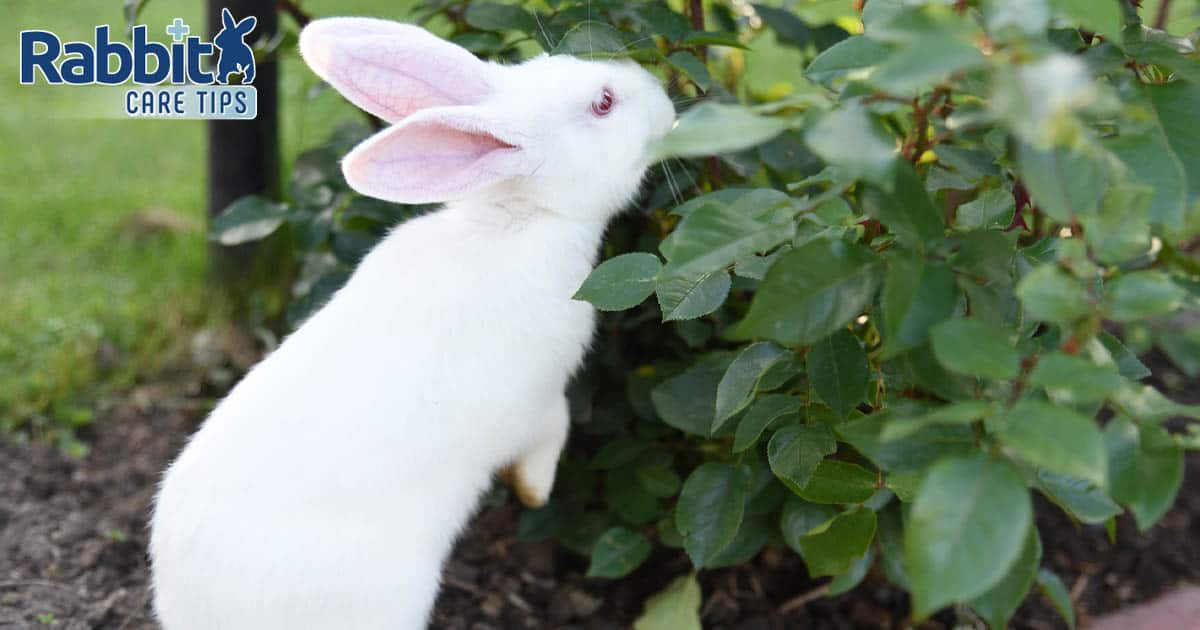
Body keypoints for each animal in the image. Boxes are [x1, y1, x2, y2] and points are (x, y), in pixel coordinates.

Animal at [147, 13, 676, 628]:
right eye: (604, 103)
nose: (666, 101)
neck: (520, 218)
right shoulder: (540, 402)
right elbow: (554, 434)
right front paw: (534, 493)